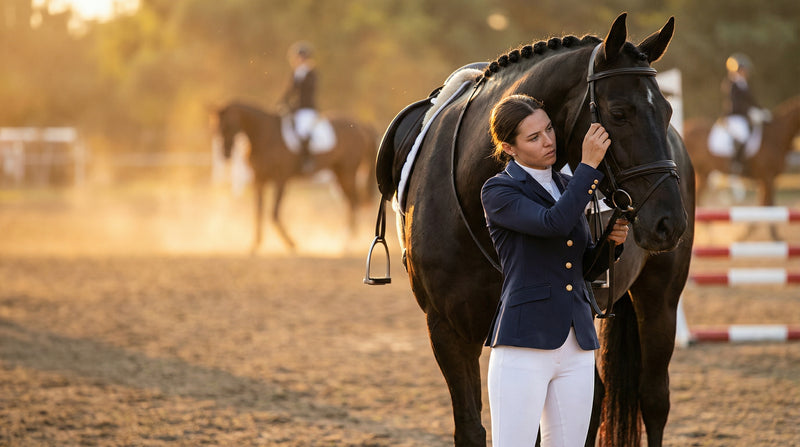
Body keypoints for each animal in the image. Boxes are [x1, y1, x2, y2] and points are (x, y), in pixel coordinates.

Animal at [216, 102, 378, 251]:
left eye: (229, 125)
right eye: (217, 127)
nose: (225, 152)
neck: (265, 135)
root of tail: (361, 125)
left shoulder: (280, 179)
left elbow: (274, 213)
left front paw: (291, 243)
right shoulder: (259, 180)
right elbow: (258, 212)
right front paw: (255, 244)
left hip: (347, 173)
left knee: (354, 203)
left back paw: (346, 243)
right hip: (339, 176)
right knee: (350, 204)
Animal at [373, 13, 694, 447]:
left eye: (666, 110)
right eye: (618, 112)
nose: (669, 222)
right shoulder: (447, 331)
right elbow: (471, 428)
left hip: (660, 299)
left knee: (654, 400)